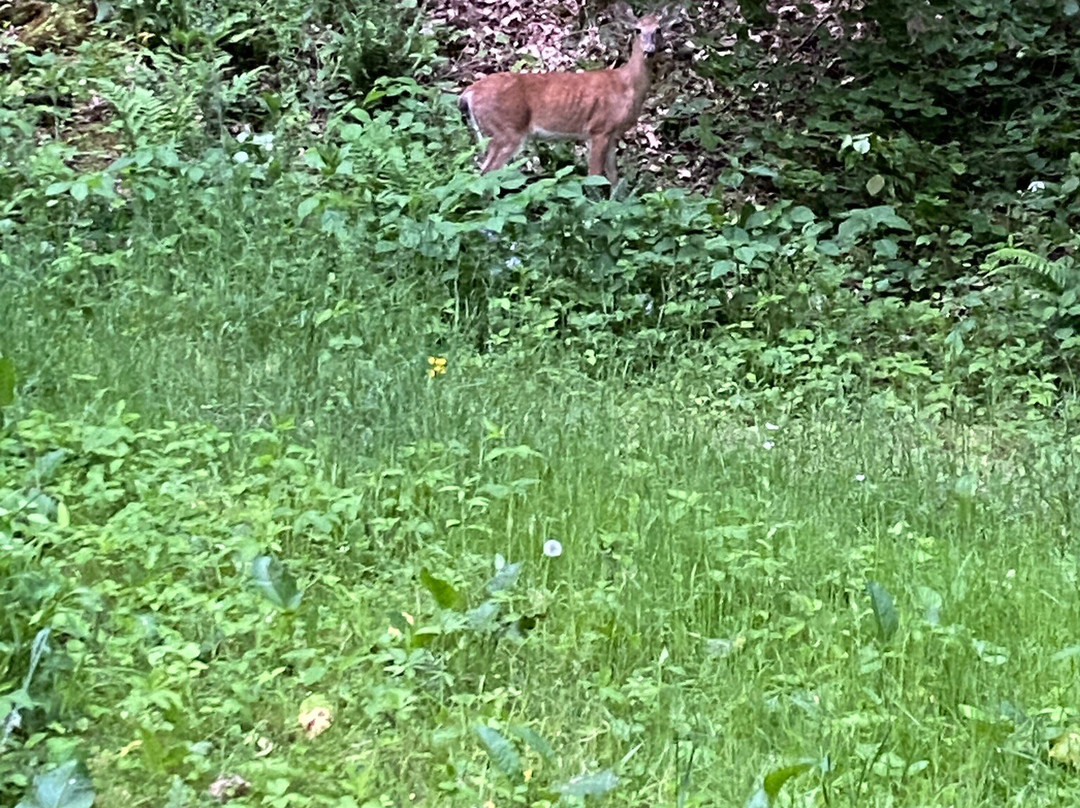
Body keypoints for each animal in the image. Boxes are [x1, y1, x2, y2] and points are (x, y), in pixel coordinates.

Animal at [455, 4, 673, 189]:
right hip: (506, 129)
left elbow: (613, 178)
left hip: (487, 133)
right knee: (486, 173)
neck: (627, 85)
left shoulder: (611, 134)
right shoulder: (598, 128)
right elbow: (594, 176)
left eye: (658, 29)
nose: (649, 51)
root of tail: (468, 93)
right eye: (637, 30)